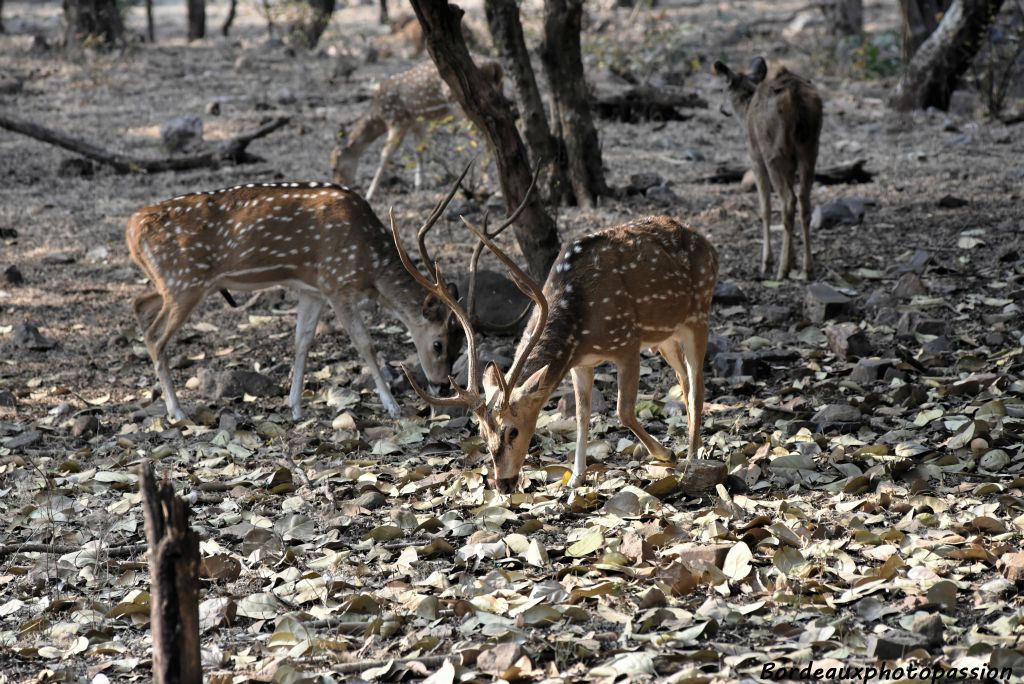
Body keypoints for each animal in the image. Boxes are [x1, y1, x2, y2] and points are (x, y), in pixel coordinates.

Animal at [124, 178, 464, 421]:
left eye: (460, 345)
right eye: (438, 344)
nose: (442, 385)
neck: (371, 266)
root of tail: (131, 228)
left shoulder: (312, 289)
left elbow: (302, 341)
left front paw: (296, 407)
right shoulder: (336, 282)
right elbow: (364, 343)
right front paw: (392, 406)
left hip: (173, 284)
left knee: (139, 303)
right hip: (185, 282)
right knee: (155, 337)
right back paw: (177, 411)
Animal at [391, 168, 720, 493]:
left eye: (513, 431)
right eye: (482, 434)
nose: (504, 484)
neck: (580, 318)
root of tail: (707, 244)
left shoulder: (627, 342)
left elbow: (622, 411)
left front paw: (666, 453)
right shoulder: (581, 363)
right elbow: (582, 415)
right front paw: (576, 477)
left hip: (699, 314)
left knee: (697, 387)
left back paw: (691, 457)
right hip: (666, 336)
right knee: (685, 382)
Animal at [712, 56, 823, 280]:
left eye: (722, 88)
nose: (722, 108)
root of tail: (794, 97)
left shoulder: (755, 156)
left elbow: (765, 208)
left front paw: (767, 262)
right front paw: (793, 258)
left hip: (773, 152)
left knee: (789, 201)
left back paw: (781, 269)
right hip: (810, 147)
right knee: (804, 201)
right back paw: (807, 268)